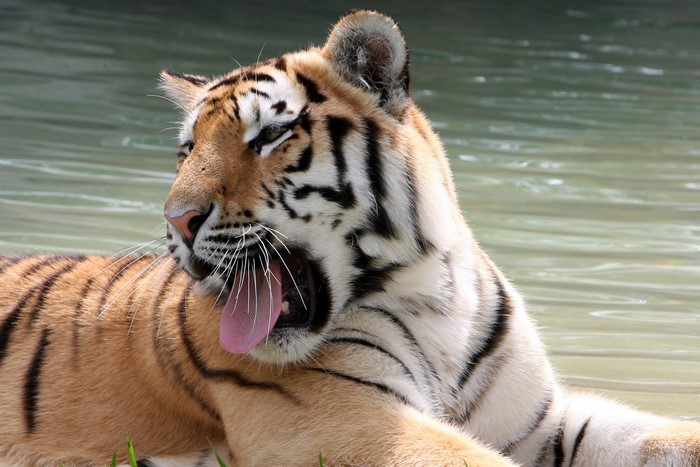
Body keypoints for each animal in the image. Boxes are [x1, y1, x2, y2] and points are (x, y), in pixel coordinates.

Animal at [1, 8, 699, 467]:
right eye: (187, 150)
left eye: (268, 136)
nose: (177, 219)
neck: (433, 295)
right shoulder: (346, 424)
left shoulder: (540, 423)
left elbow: (660, 434)